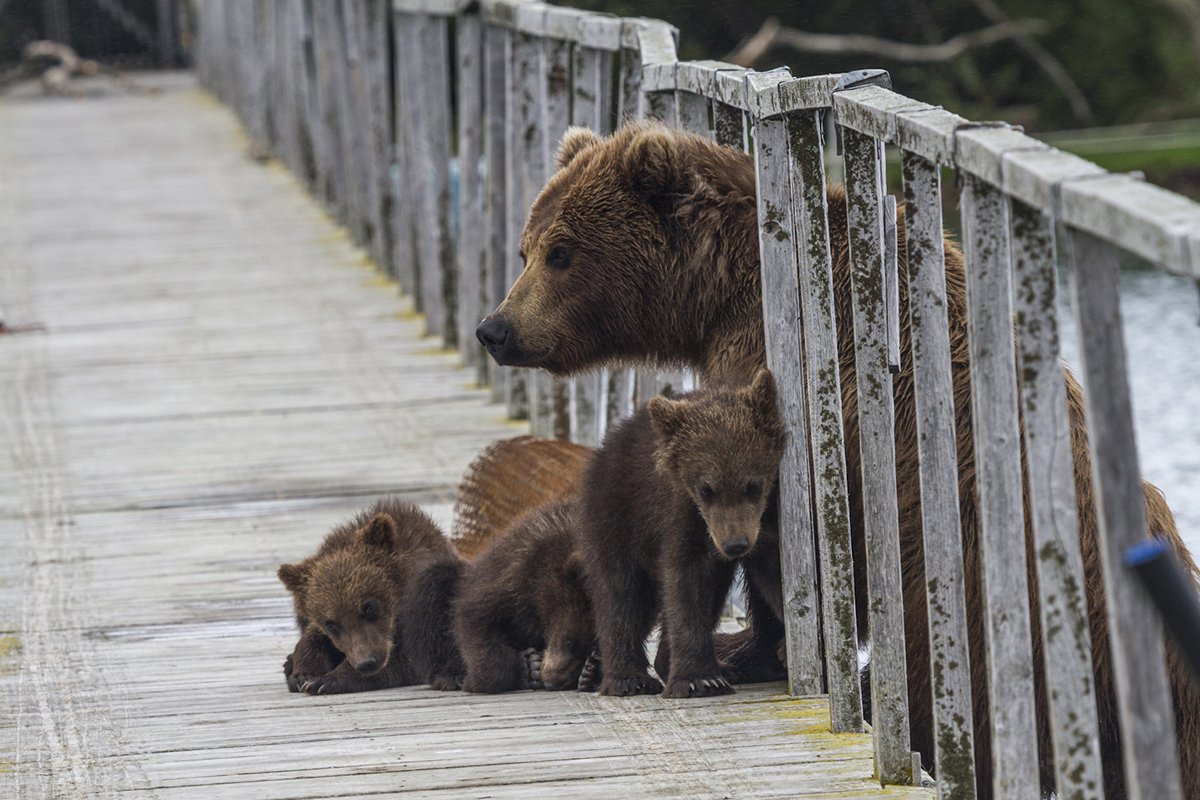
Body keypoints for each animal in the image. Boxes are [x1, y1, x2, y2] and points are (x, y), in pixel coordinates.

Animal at [475, 120, 1200, 800]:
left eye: (561, 252)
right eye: (527, 247)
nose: (495, 328)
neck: (724, 290)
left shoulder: (777, 376)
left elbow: (758, 523)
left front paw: (737, 650)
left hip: (974, 588)